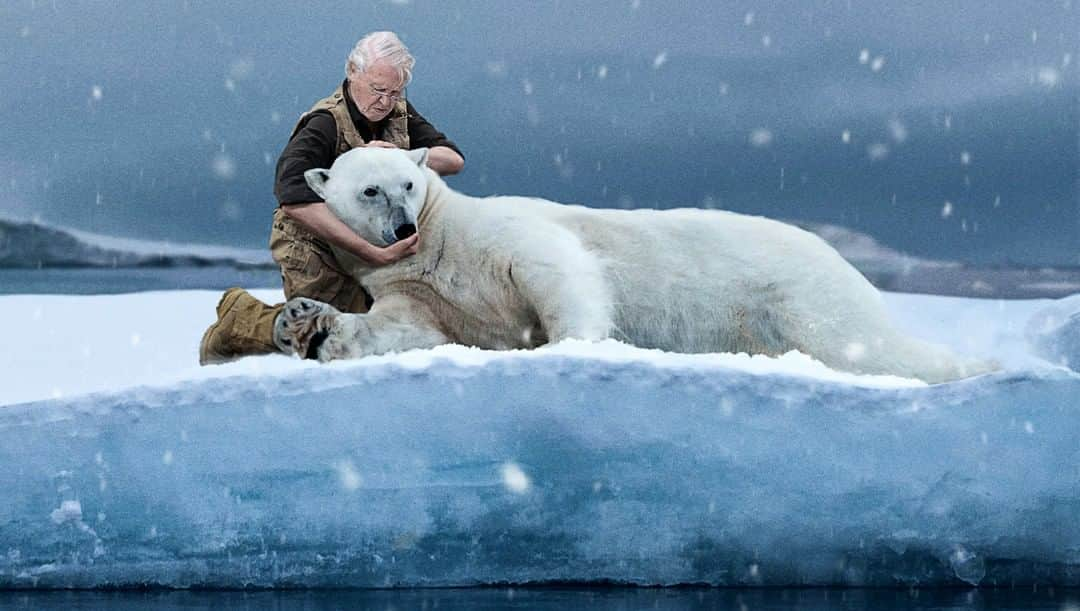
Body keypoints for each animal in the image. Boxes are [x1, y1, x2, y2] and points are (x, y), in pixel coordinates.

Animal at [280, 146, 993, 384]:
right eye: (370, 190)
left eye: (408, 182)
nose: (402, 227)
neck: (438, 242)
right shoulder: (416, 285)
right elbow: (406, 327)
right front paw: (313, 325)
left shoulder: (498, 235)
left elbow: (558, 269)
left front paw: (567, 349)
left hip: (799, 298)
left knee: (865, 345)